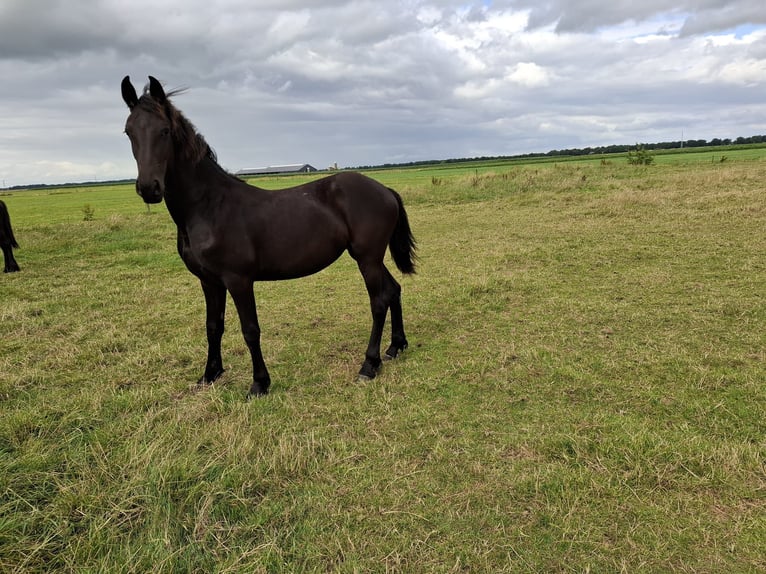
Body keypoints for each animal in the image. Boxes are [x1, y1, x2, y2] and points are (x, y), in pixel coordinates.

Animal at [121, 76, 417, 398]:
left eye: (164, 130)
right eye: (128, 131)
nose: (149, 188)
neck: (209, 205)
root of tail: (384, 190)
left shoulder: (238, 280)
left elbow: (250, 329)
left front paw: (259, 383)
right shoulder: (209, 281)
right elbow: (213, 326)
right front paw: (210, 374)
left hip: (367, 258)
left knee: (378, 301)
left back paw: (369, 365)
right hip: (371, 257)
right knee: (393, 290)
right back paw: (396, 346)